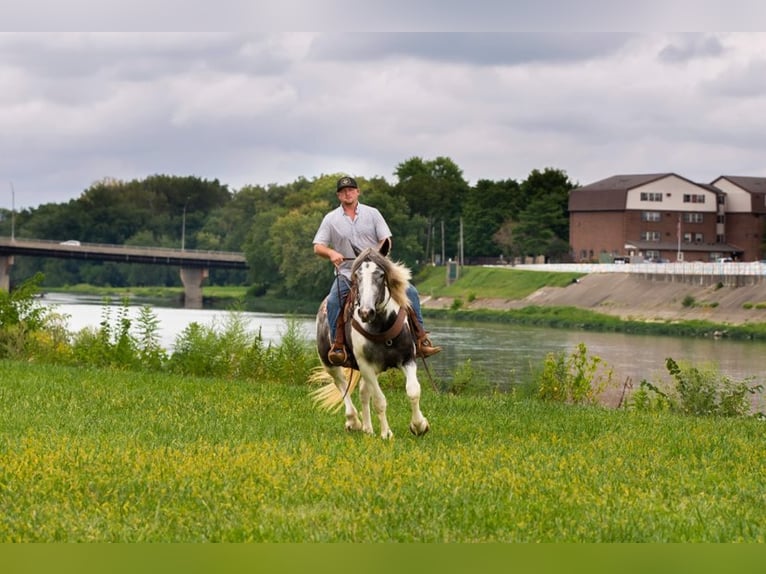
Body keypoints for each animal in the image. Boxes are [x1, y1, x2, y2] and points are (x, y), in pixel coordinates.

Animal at [312, 242, 432, 440]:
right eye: (357, 275)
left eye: (381, 274)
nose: (365, 312)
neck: (382, 325)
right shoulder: (365, 365)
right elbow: (379, 400)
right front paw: (386, 433)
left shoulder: (408, 358)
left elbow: (413, 390)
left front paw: (419, 425)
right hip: (329, 363)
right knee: (342, 385)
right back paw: (354, 422)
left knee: (363, 391)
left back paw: (368, 429)